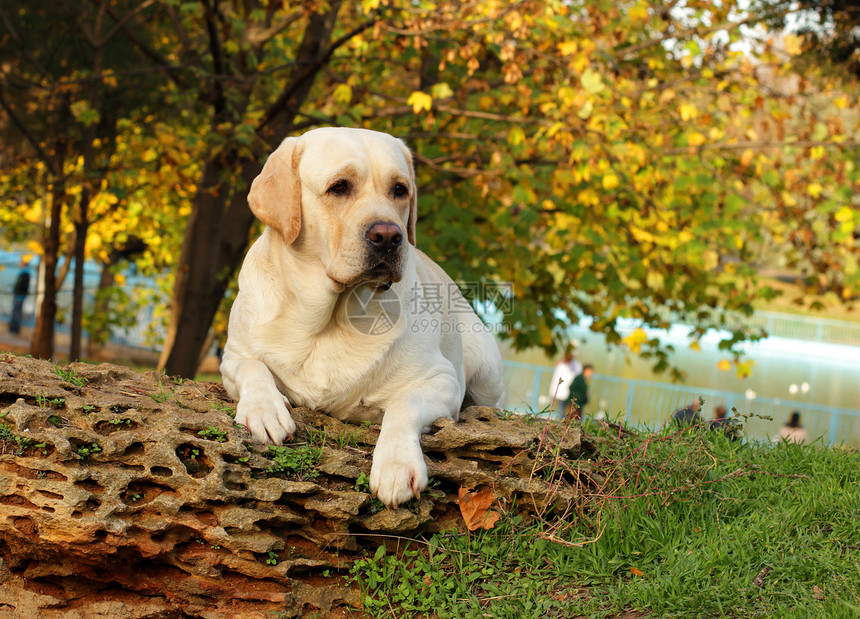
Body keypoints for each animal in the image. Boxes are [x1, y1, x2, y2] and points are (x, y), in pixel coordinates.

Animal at [220, 127, 504, 508]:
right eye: (339, 186)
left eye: (400, 189)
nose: (389, 236)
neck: (329, 319)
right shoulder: (233, 356)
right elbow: (253, 367)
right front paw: (264, 411)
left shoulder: (442, 379)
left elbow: (403, 404)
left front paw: (397, 465)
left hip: (485, 366)